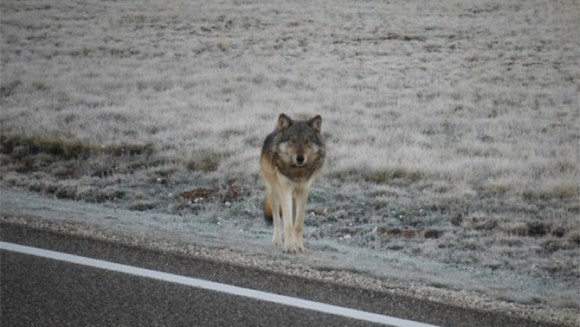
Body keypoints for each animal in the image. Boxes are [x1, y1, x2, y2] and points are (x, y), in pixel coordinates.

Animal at [260, 114, 324, 255]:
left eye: (307, 141)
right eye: (292, 140)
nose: (300, 158)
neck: (297, 171)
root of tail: (276, 129)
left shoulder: (303, 191)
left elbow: (298, 224)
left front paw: (299, 246)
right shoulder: (285, 190)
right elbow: (287, 224)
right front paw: (289, 247)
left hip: (293, 198)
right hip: (274, 193)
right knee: (277, 220)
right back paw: (277, 241)